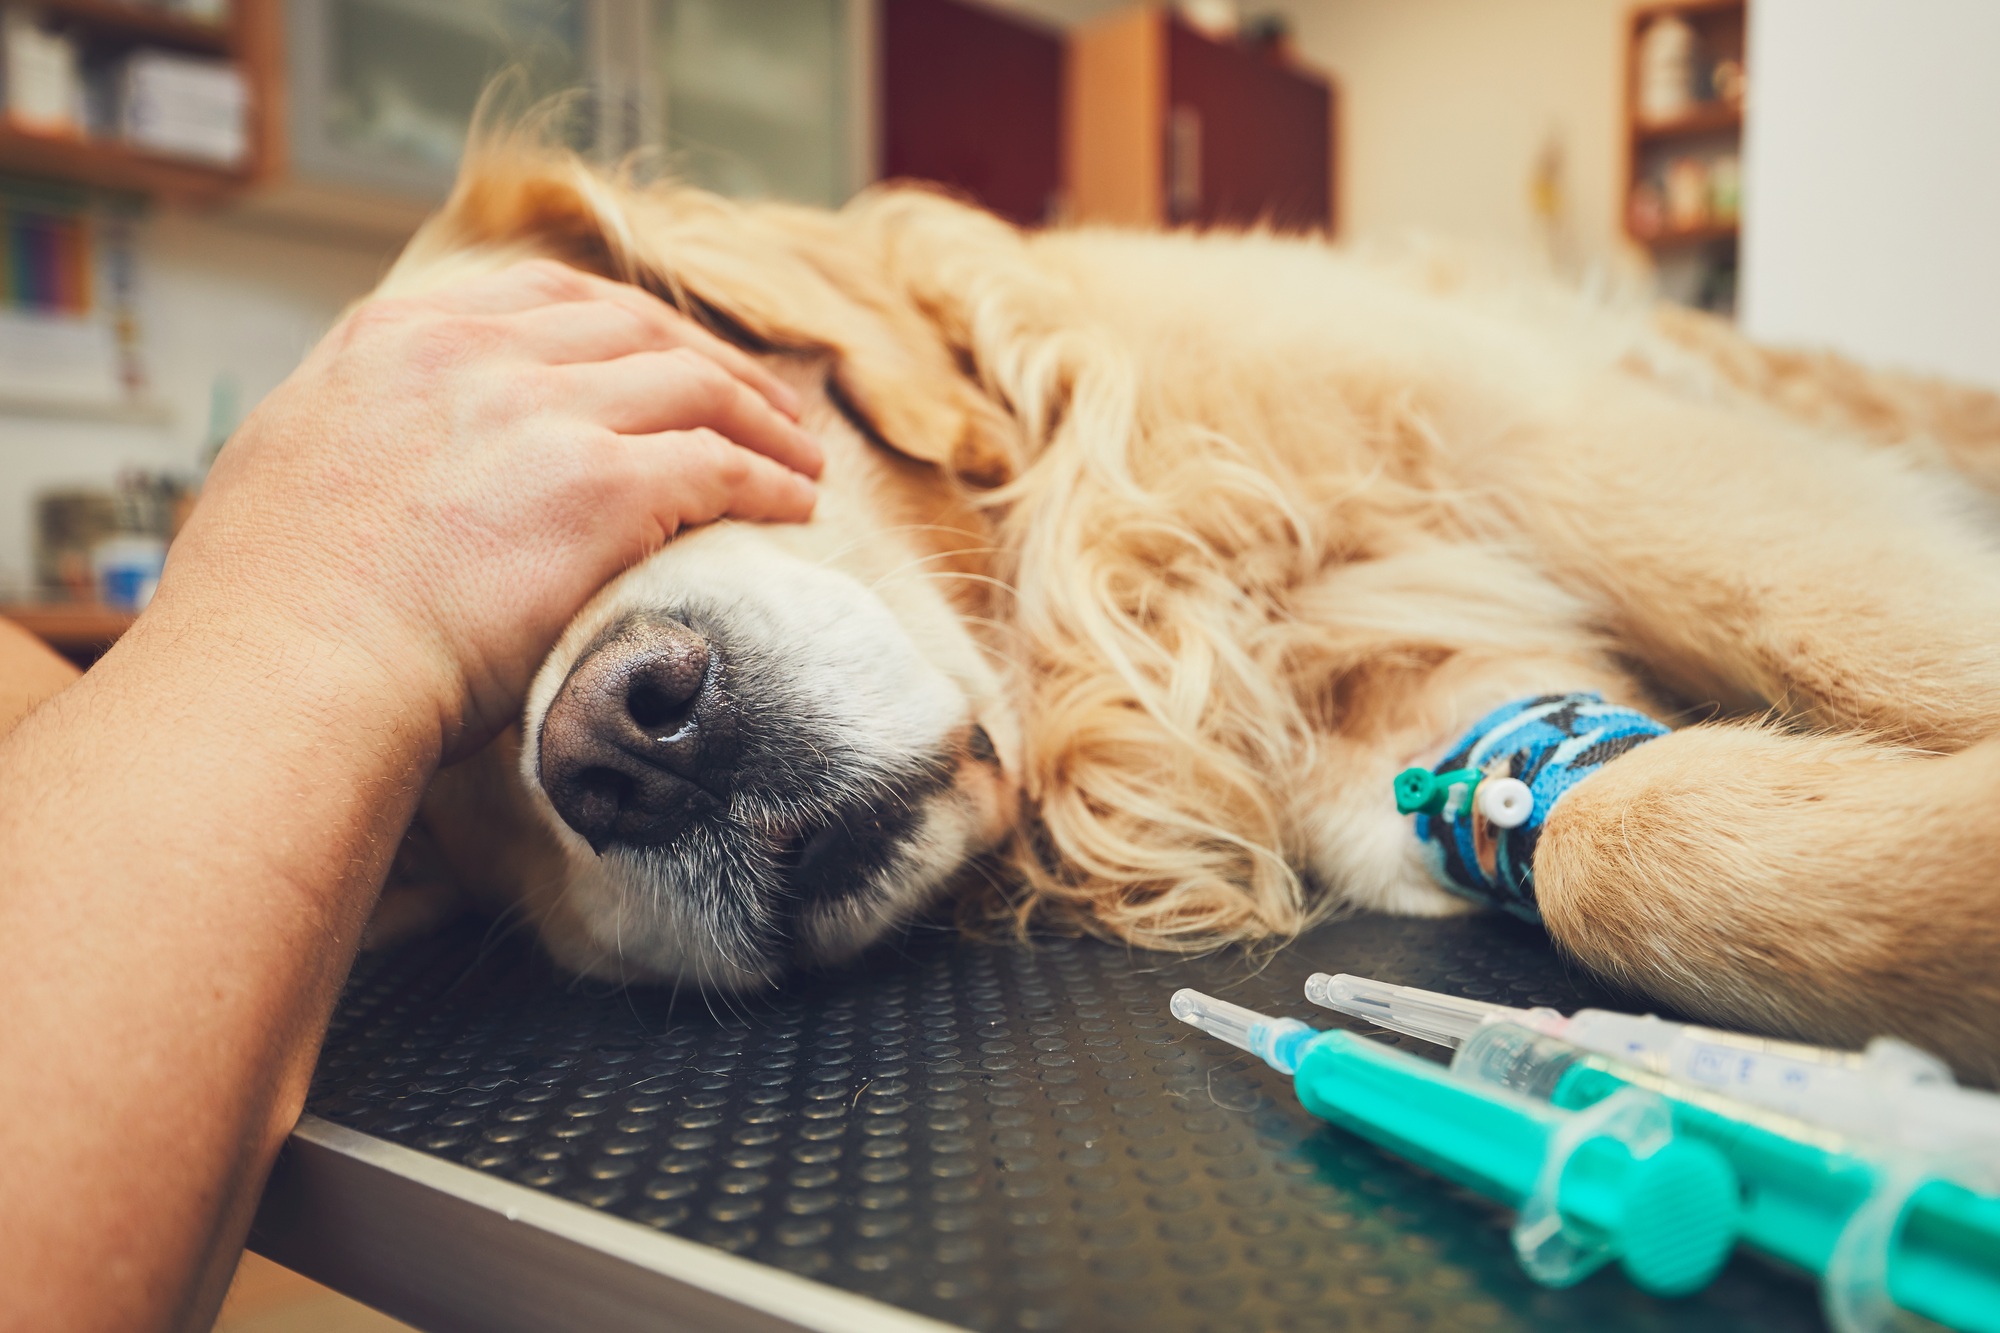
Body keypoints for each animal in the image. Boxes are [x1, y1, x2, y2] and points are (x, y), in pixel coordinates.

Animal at [382, 137, 2000, 1072]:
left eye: (636, 422)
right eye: (429, 770)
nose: (622, 744)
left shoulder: (1587, 452)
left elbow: (1874, 641)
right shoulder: (1426, 755)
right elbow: (1625, 844)